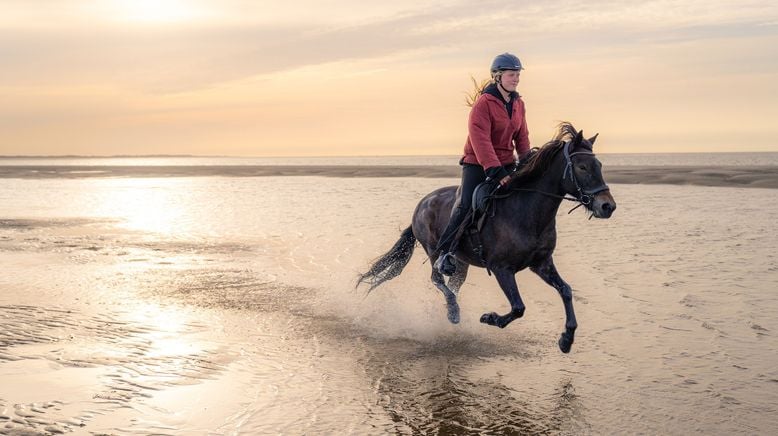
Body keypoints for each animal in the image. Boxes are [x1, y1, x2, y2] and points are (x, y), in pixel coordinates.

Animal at [354, 121, 616, 352]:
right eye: (582, 167)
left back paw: (450, 314)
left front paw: (566, 339)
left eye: (600, 165)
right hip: (434, 251)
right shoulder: (502, 269)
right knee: (437, 278)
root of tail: (422, 203)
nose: (607, 206)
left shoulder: (541, 264)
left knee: (453, 286)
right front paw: (490, 318)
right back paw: (453, 312)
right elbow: (518, 307)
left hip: (461, 264)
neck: (527, 211)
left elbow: (566, 291)